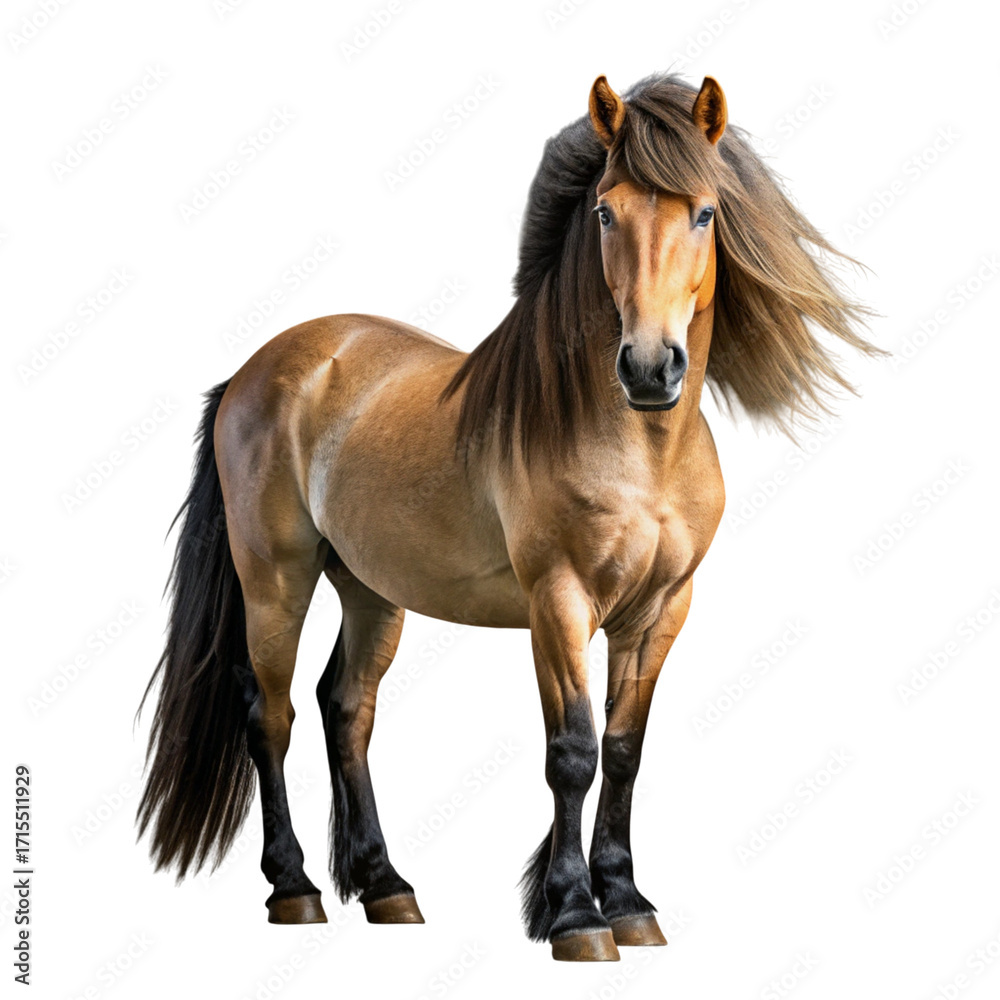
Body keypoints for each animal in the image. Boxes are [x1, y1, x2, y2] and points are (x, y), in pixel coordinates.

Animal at [137, 72, 879, 962]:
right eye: (605, 212)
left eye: (705, 212)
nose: (649, 367)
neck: (637, 451)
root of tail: (255, 371)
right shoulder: (557, 602)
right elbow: (574, 752)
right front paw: (576, 916)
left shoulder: (660, 612)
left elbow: (624, 752)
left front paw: (627, 902)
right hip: (276, 577)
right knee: (269, 714)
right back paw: (296, 888)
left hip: (372, 588)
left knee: (345, 708)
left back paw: (386, 887)